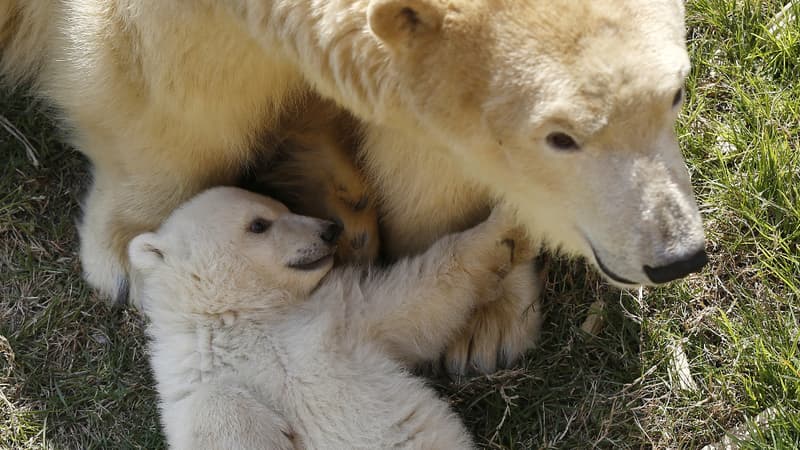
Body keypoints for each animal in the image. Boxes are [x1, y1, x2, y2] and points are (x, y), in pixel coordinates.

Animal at [1, 0, 708, 372]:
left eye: (675, 92)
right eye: (561, 136)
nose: (677, 255)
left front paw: (485, 318)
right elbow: (162, 88)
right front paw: (129, 251)